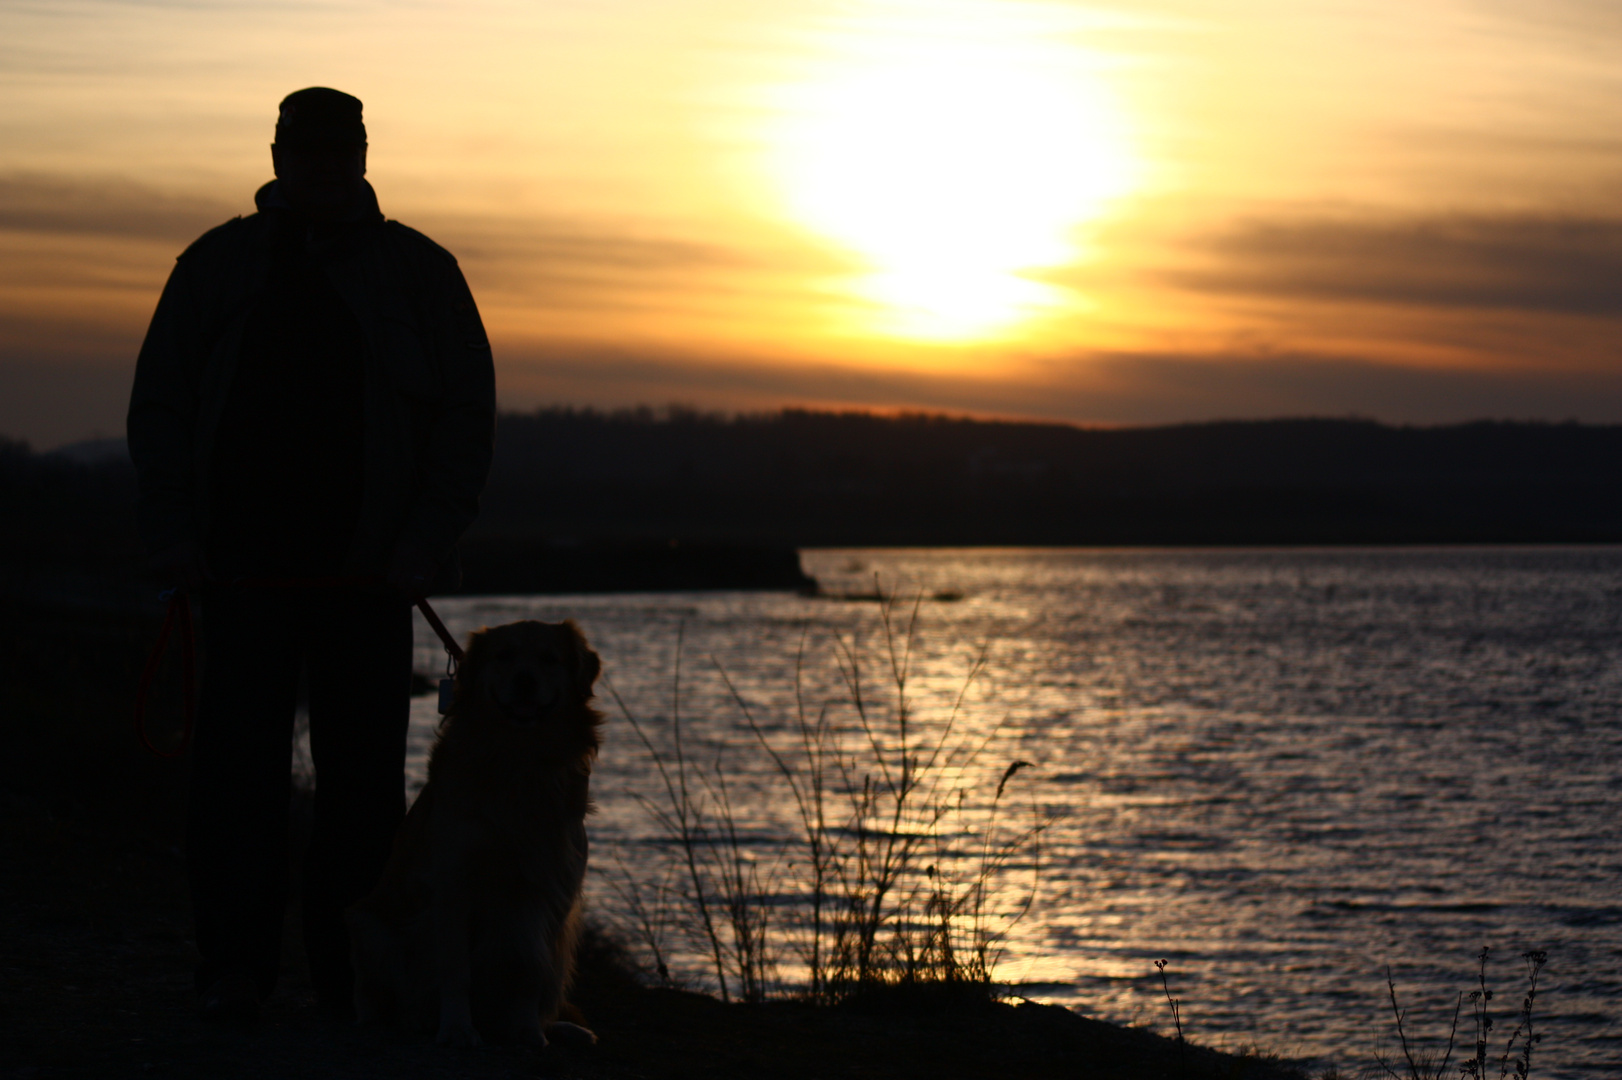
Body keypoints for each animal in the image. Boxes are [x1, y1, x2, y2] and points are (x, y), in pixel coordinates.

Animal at [347, 619, 603, 1044]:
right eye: (504, 655)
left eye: (550, 659)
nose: (525, 681)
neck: (519, 759)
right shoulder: (453, 883)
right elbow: (455, 970)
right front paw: (455, 1028)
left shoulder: (549, 887)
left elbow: (529, 966)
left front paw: (527, 1030)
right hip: (370, 927)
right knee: (379, 997)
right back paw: (411, 1018)